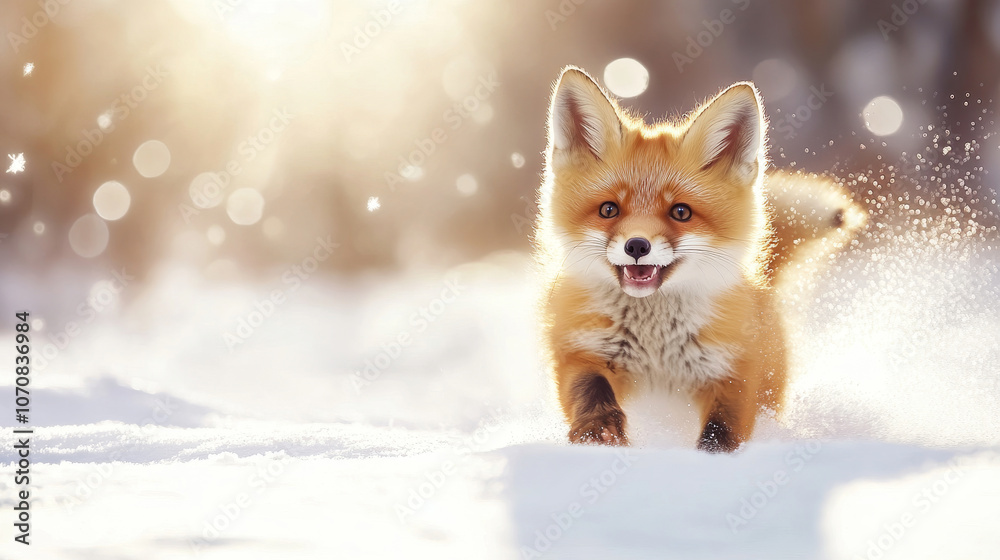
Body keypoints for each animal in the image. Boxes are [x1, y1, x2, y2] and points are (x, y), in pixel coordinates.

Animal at [536, 66, 864, 450]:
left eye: (681, 212)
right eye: (608, 209)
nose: (637, 246)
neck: (655, 344)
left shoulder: (733, 369)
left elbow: (722, 428)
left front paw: (709, 457)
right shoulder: (580, 351)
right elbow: (589, 392)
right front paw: (597, 432)